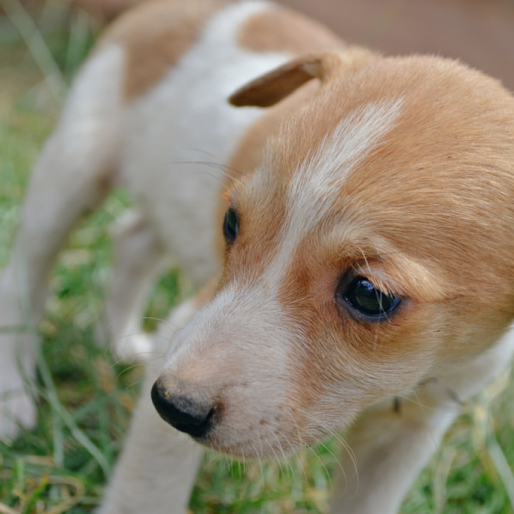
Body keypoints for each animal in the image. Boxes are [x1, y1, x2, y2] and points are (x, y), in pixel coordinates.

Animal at [1, 1, 512, 512]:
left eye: (369, 294)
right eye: (231, 222)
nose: (171, 403)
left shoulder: (407, 432)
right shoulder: (179, 338)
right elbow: (146, 494)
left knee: (129, 239)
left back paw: (118, 340)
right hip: (73, 168)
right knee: (25, 278)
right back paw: (14, 398)